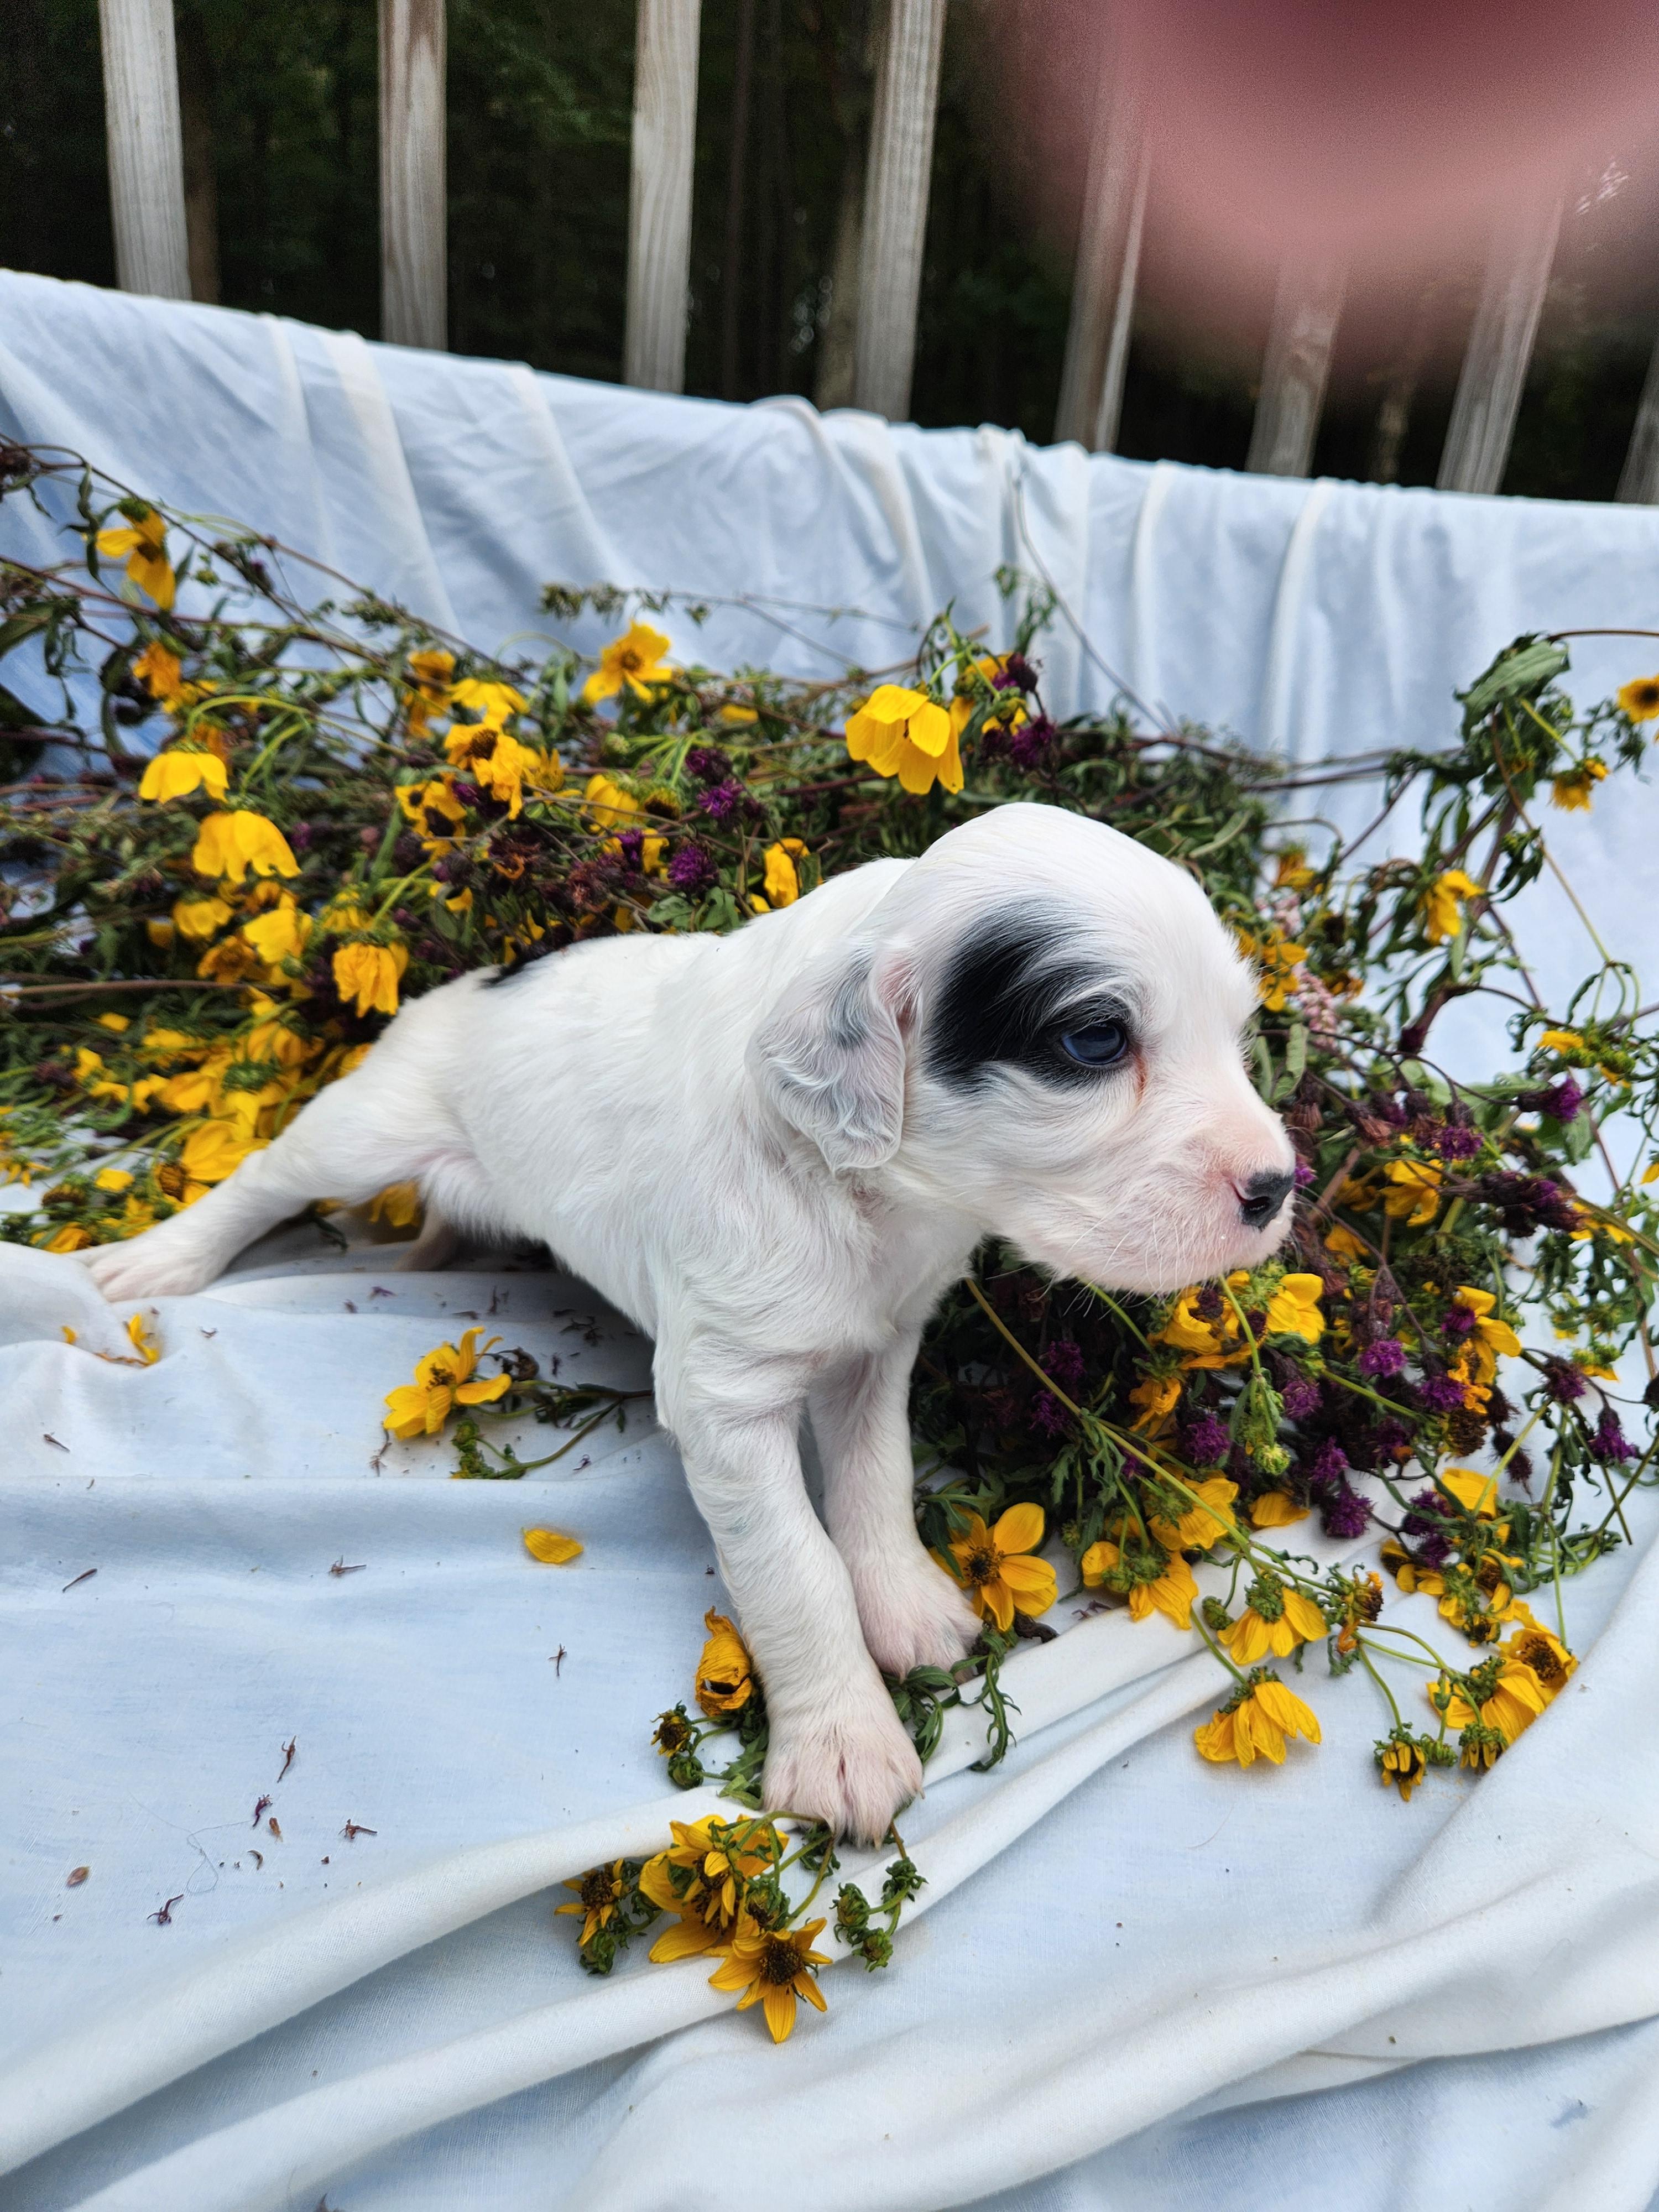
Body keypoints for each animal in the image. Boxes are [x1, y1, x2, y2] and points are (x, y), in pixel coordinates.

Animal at [85, 803, 1296, 1840]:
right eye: (1096, 1041)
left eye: (1242, 1032)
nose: (1280, 1186)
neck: (874, 1193)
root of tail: (487, 970)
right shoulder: (723, 1394)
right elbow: (794, 1566)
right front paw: (844, 1744)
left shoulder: (878, 1342)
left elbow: (875, 1475)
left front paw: (906, 1606)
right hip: (372, 1118)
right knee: (268, 1176)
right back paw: (154, 1258)